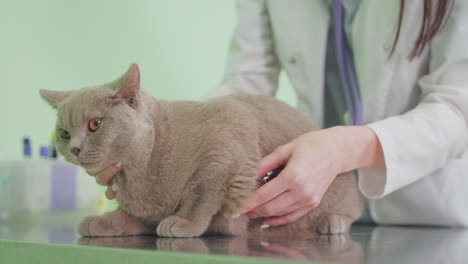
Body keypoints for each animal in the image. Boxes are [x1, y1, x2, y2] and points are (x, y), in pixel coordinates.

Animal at [40, 64, 362, 239]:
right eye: (64, 133)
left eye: (95, 124)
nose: (75, 147)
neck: (138, 171)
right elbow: (133, 215)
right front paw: (106, 221)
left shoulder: (227, 146)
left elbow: (201, 194)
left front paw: (183, 222)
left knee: (351, 212)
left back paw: (331, 222)